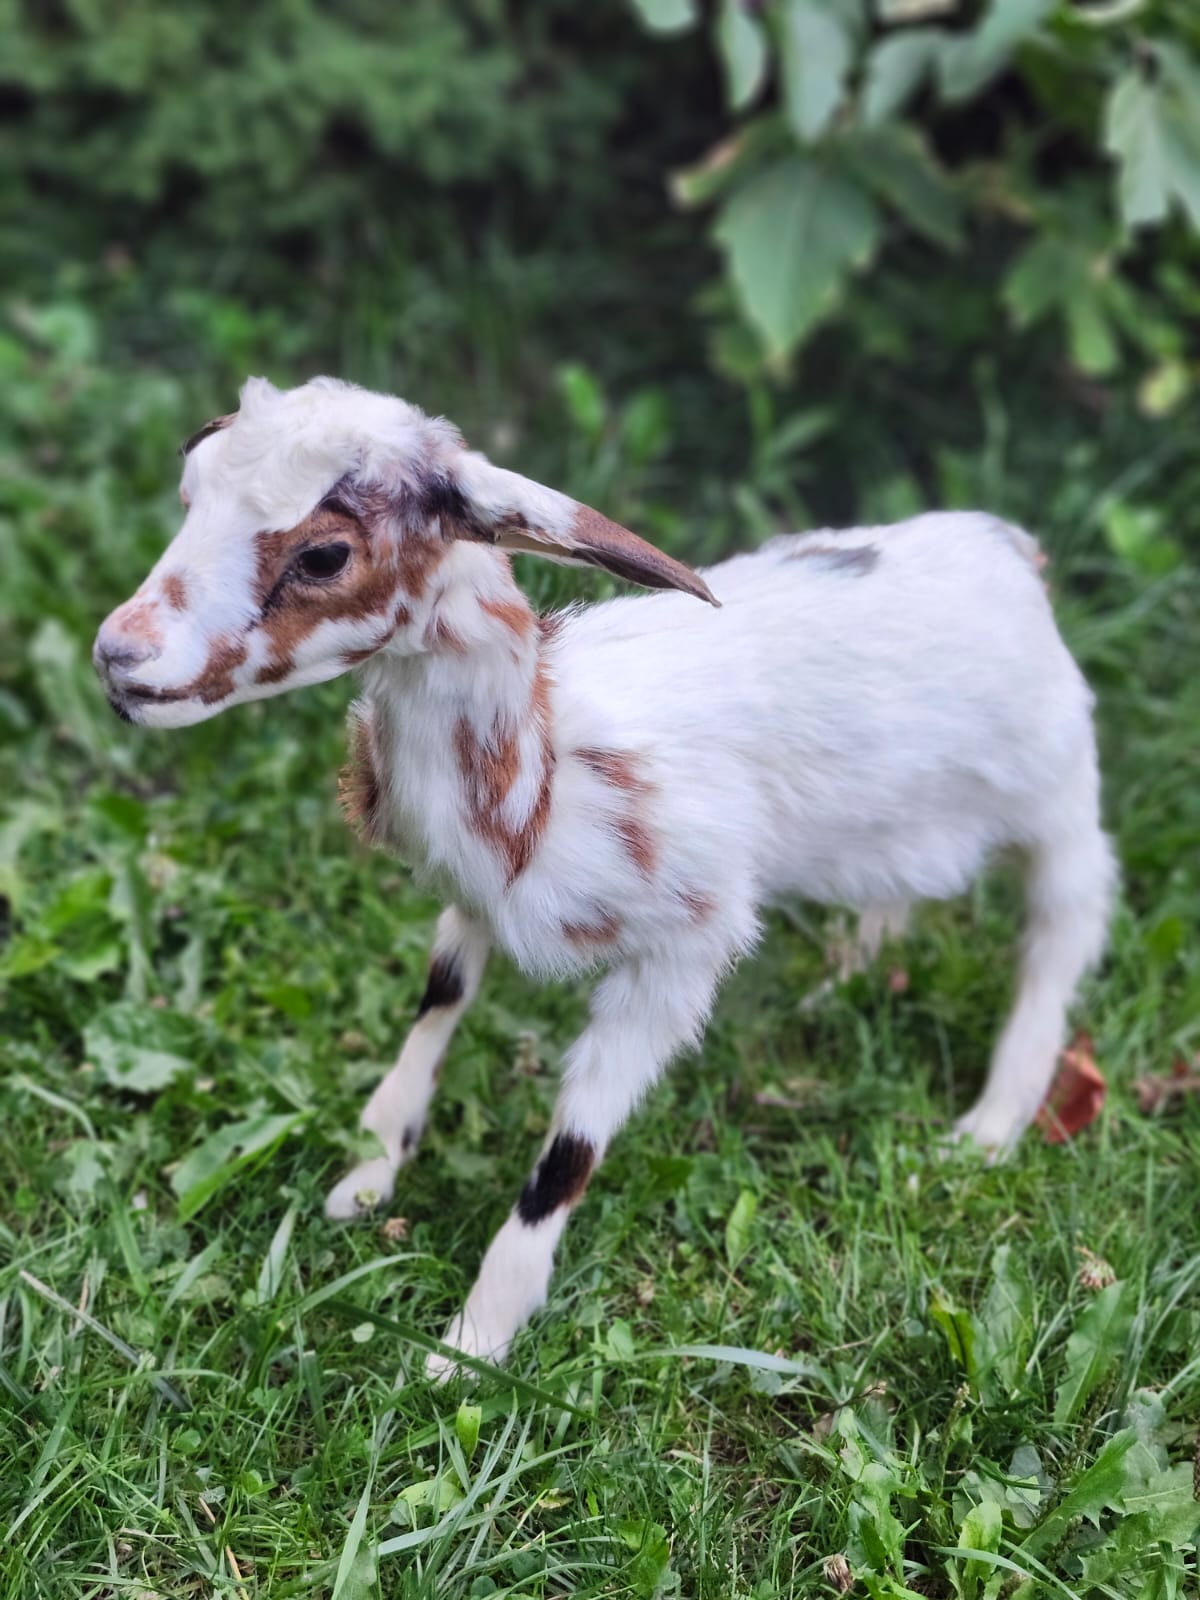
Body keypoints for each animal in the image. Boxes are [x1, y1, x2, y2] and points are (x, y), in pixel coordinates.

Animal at [93, 376, 1115, 1375]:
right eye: (190, 491)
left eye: (325, 553)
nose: (118, 656)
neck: (552, 765)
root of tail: (1007, 546)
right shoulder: (475, 900)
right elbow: (440, 998)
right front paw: (368, 1173)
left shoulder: (686, 948)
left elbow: (571, 1150)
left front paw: (472, 1344)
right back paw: (842, 986)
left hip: (1059, 789)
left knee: (1064, 926)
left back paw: (988, 1128)